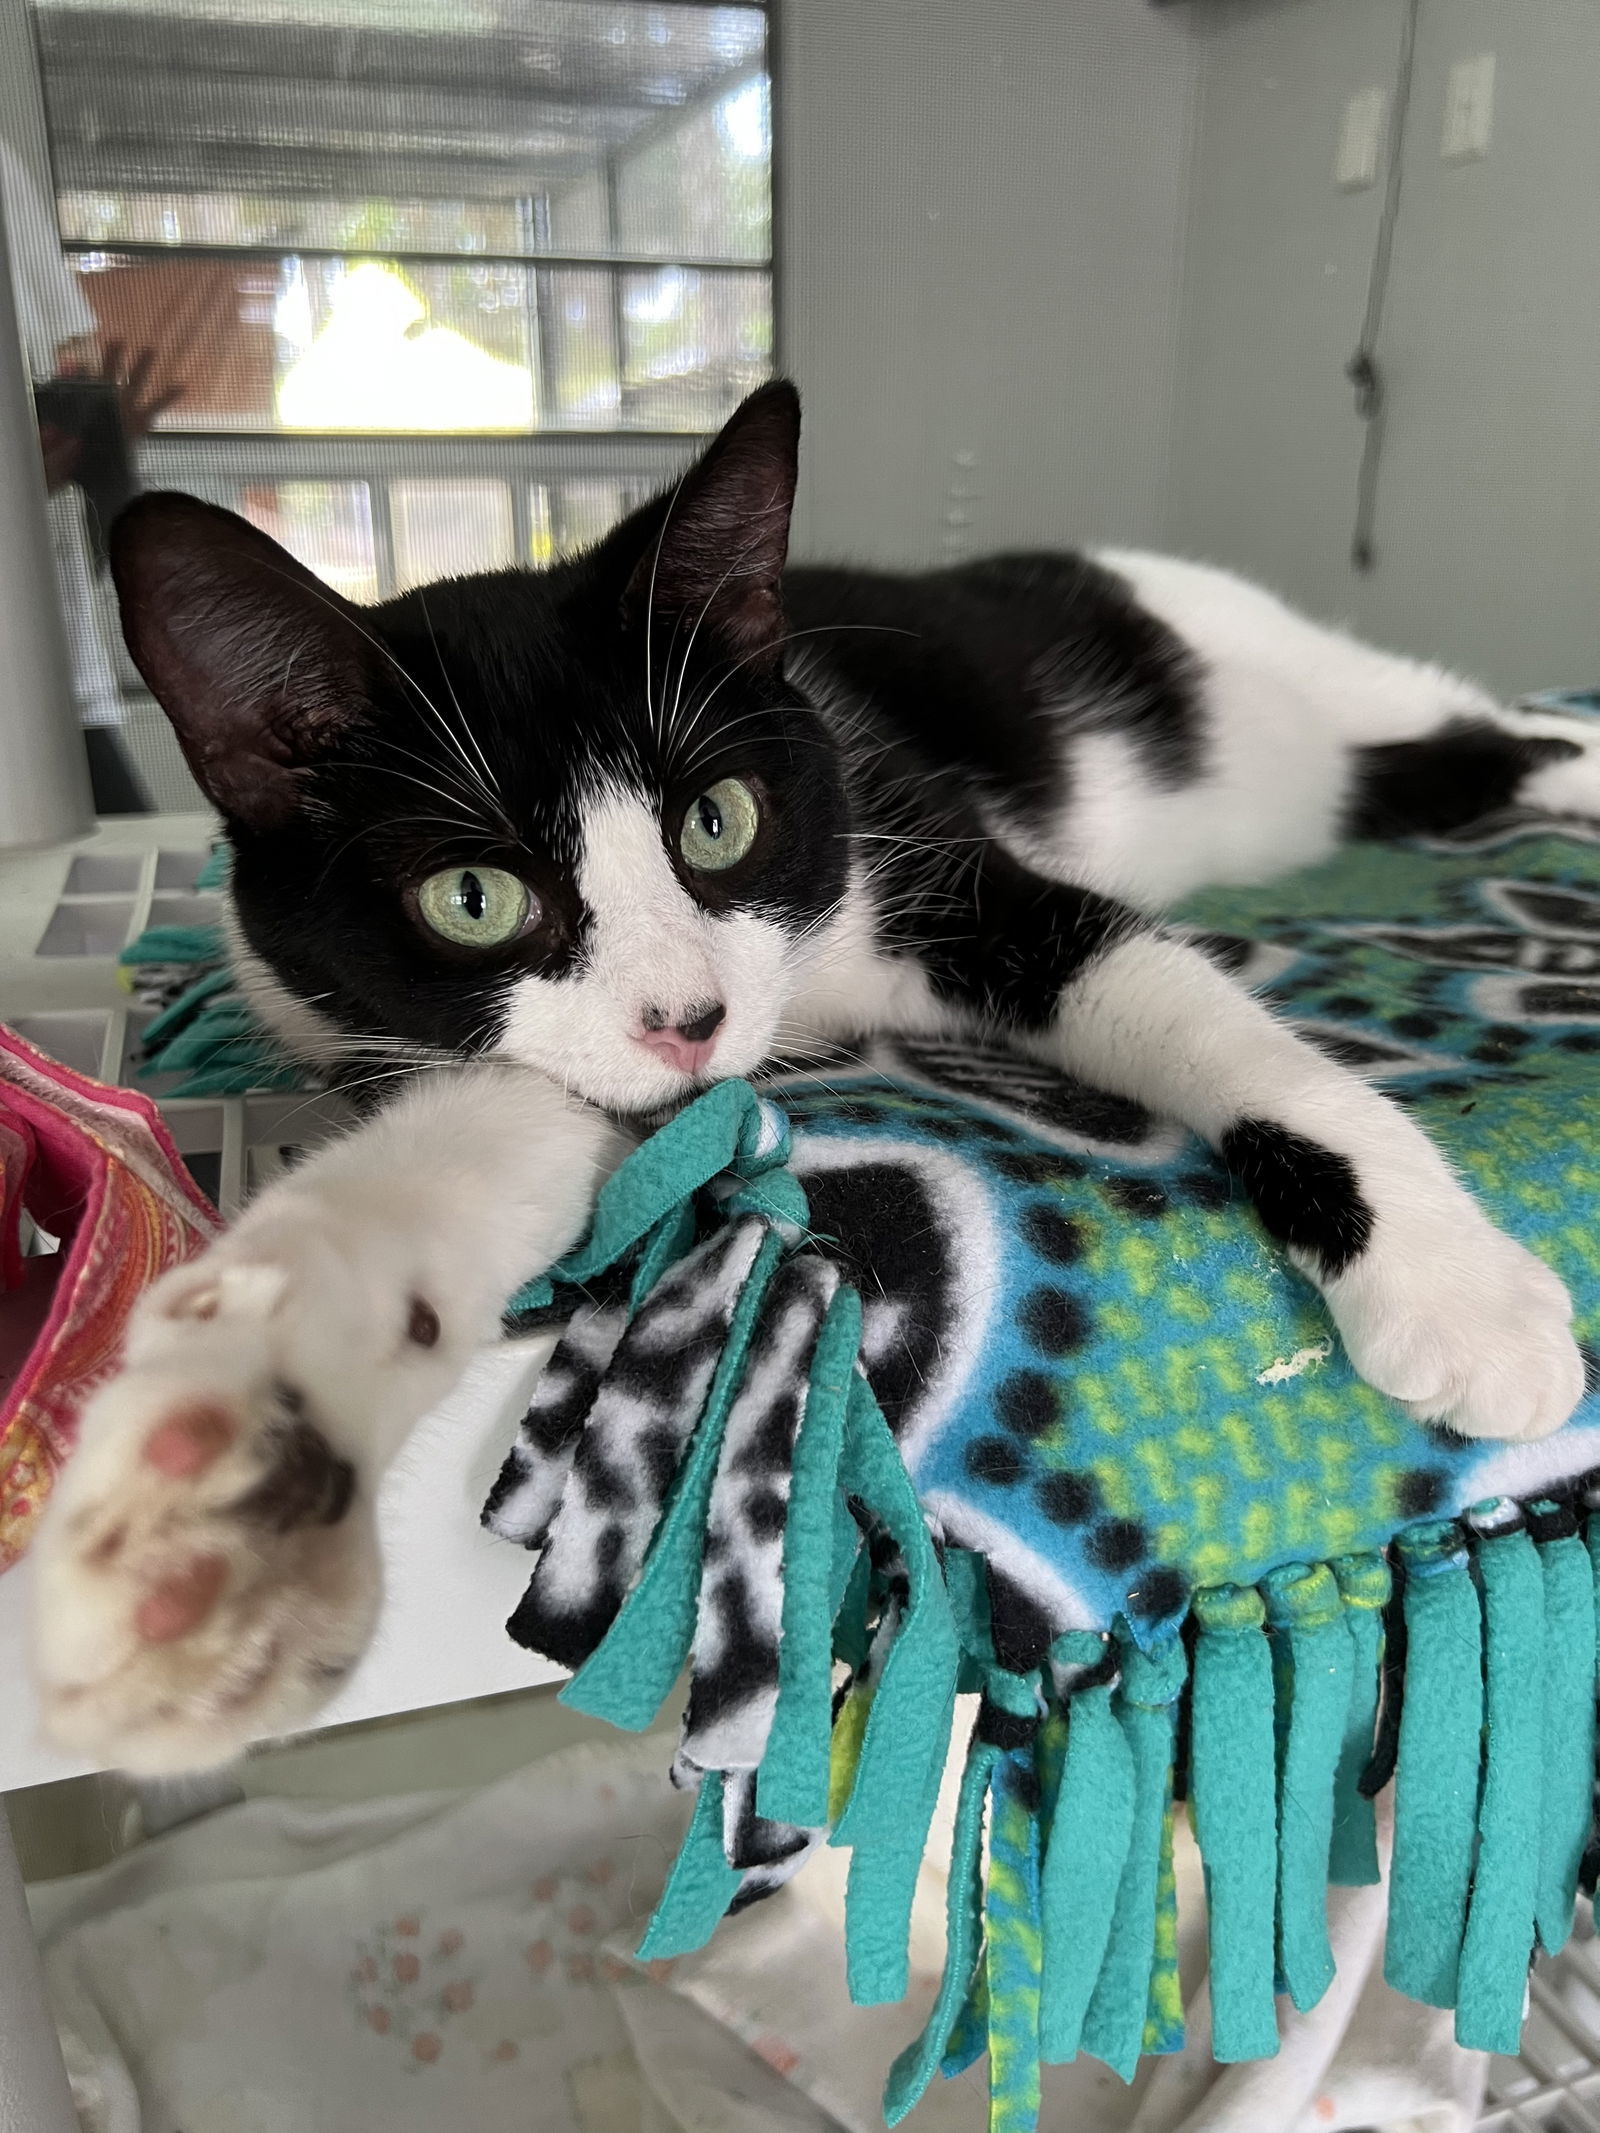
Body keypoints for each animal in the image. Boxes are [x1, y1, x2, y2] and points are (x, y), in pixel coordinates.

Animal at [31, 379, 1595, 1766]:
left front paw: (1452, 1285)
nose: (690, 1016)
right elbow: (459, 1162)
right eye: (473, 899)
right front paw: (227, 1462)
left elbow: (1190, 1008)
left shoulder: (924, 840)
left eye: (718, 819)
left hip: (1294, 665)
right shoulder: (544, 1067)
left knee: (1504, 734)